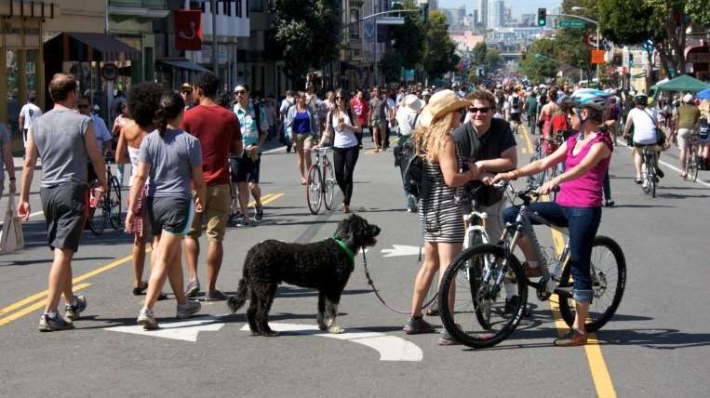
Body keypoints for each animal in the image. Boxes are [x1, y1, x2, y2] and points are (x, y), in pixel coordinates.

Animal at [231, 215, 382, 336]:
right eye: (365, 226)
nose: (379, 228)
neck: (341, 246)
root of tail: (252, 251)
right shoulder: (334, 289)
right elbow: (332, 310)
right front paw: (334, 328)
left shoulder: (323, 289)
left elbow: (322, 309)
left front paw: (323, 325)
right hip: (266, 288)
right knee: (260, 313)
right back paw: (267, 332)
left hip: (256, 288)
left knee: (251, 310)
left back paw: (255, 331)